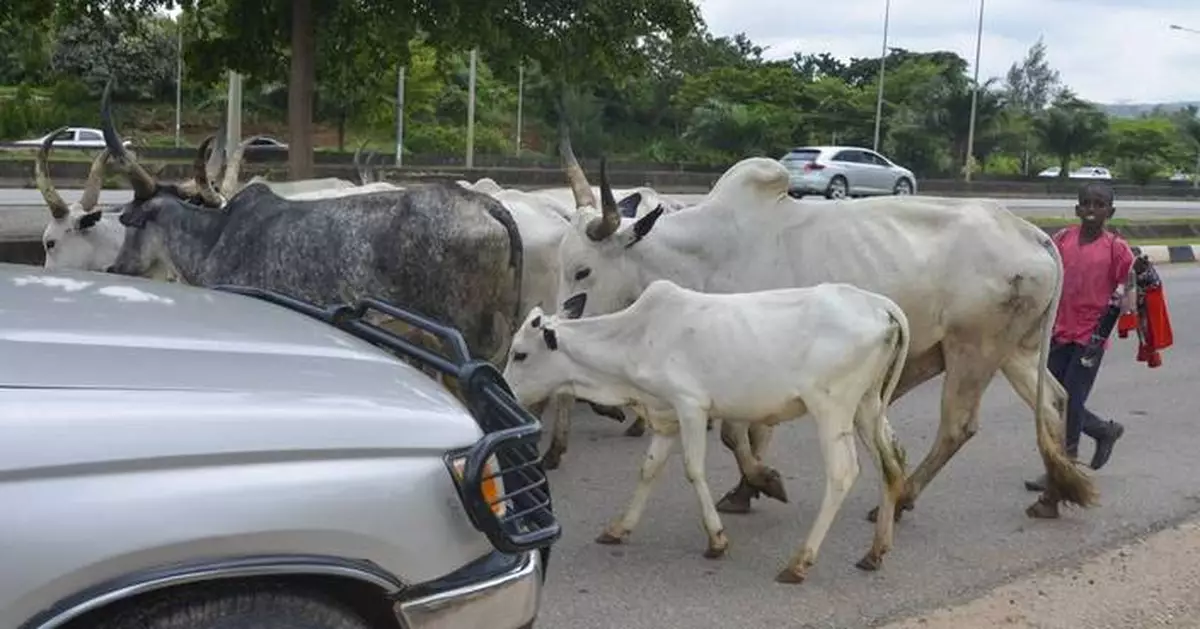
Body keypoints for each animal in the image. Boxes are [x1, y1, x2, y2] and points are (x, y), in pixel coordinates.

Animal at [504, 279, 907, 585]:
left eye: (520, 353)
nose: (506, 392)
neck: (635, 339)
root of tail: (878, 304)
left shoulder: (691, 407)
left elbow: (693, 470)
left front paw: (716, 539)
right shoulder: (665, 416)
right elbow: (648, 470)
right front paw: (619, 528)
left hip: (831, 409)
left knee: (843, 473)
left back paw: (799, 562)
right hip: (867, 405)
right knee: (890, 465)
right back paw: (876, 551)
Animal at [552, 151, 1099, 520]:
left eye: (582, 271)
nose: (556, 332)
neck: (704, 254)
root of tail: (1033, 233)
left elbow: (737, 433)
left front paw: (761, 482)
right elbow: (744, 434)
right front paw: (747, 489)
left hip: (973, 348)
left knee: (958, 426)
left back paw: (902, 498)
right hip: (1016, 349)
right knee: (1054, 401)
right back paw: (1052, 496)